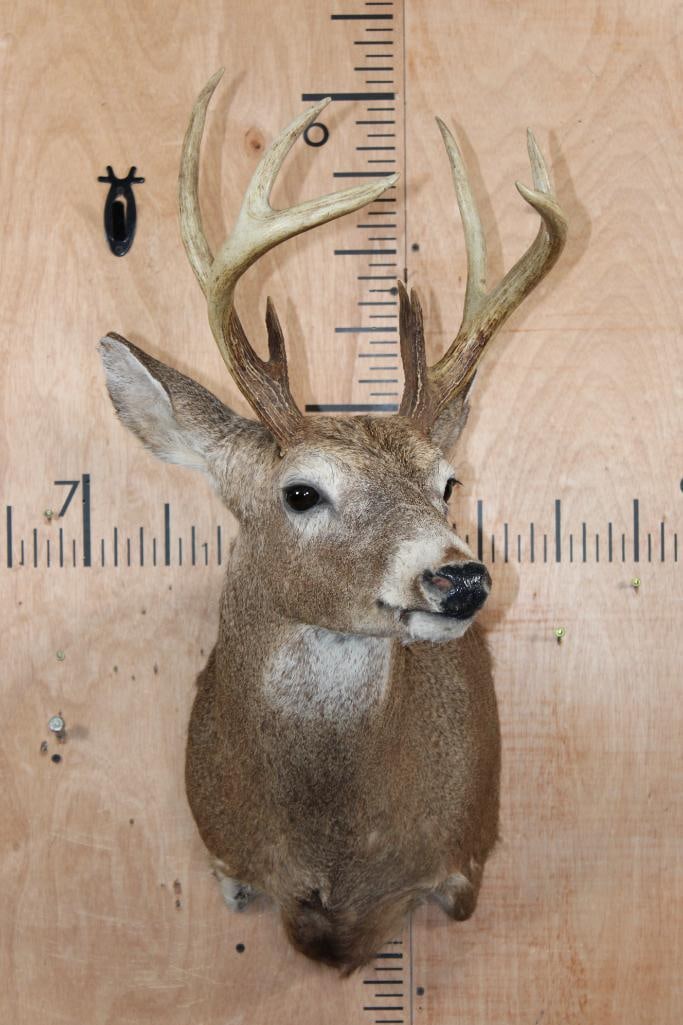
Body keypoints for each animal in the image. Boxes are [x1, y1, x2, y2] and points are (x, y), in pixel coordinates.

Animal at [99, 70, 567, 973]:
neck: (334, 853)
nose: (460, 577)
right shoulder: (227, 858)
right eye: (301, 492)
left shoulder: (462, 858)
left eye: (447, 482)